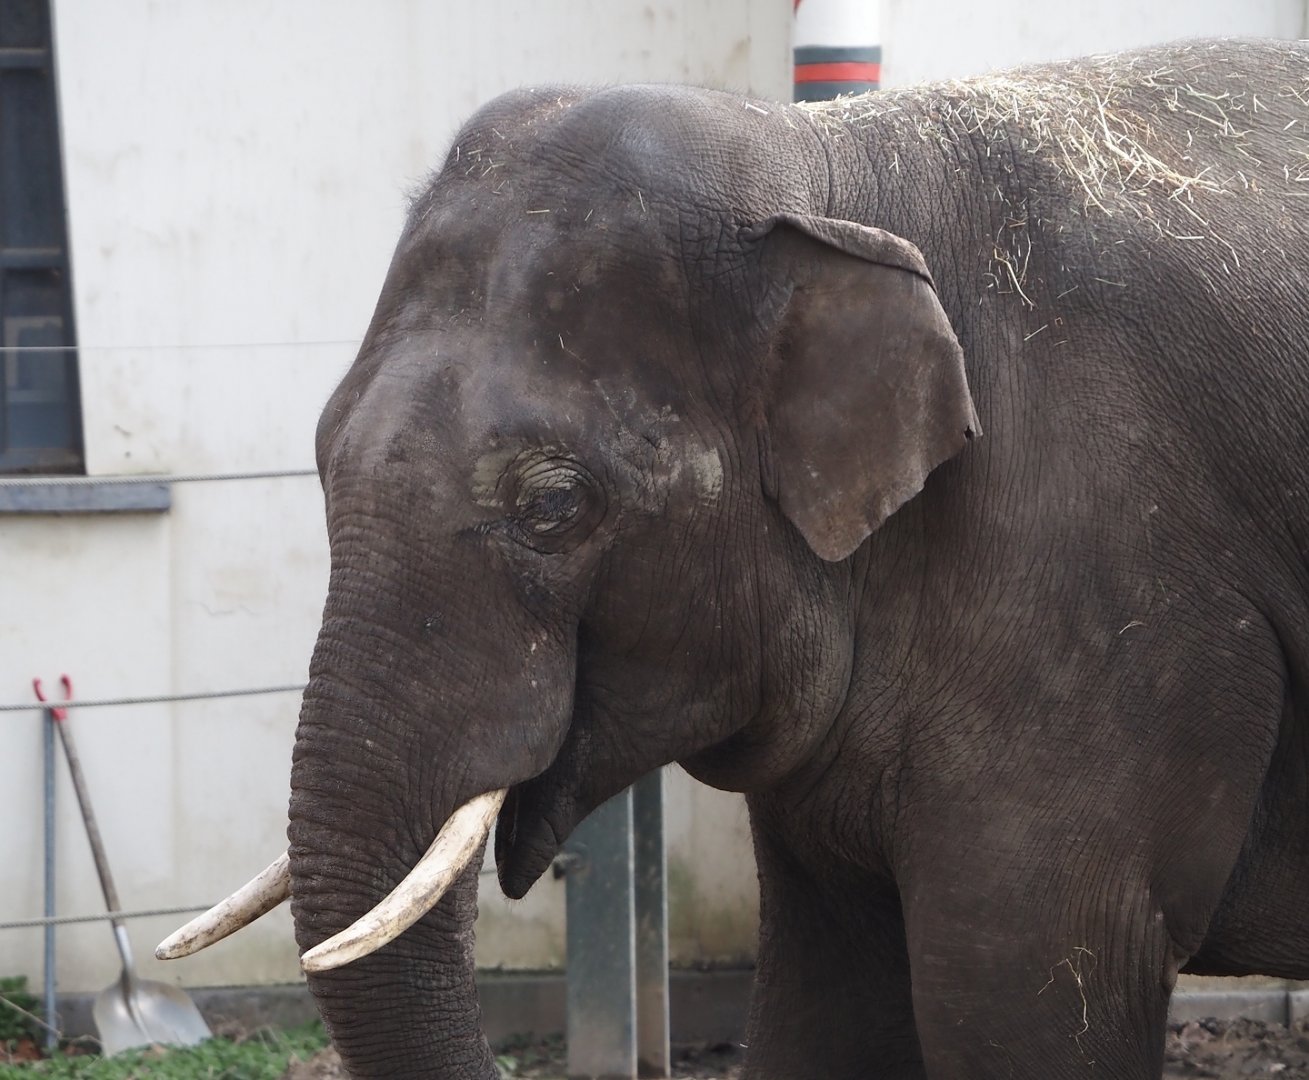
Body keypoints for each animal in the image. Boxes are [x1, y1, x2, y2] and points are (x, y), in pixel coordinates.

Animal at [159, 37, 1309, 1079]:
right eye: (319, 455)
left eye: (553, 506)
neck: (831, 170)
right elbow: (830, 1004)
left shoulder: (1099, 591)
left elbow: (1019, 999)